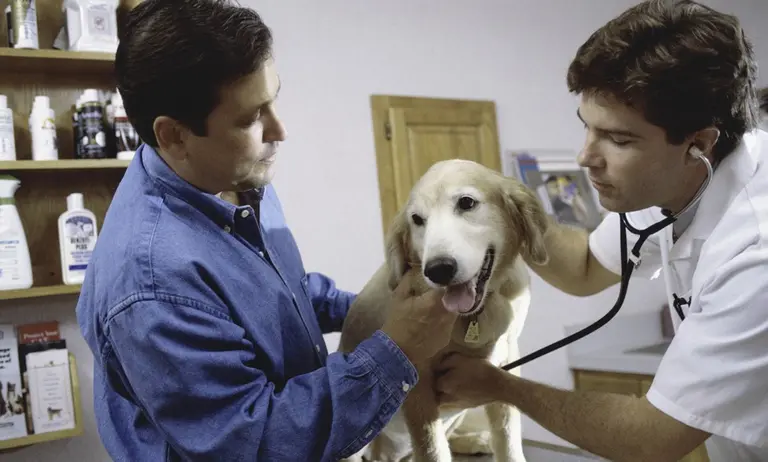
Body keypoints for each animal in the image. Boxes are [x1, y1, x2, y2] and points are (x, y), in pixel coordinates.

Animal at [338, 159, 549, 462]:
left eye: (466, 202)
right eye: (417, 220)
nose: (438, 270)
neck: (475, 316)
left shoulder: (502, 366)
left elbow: (508, 440)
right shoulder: (417, 384)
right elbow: (432, 449)